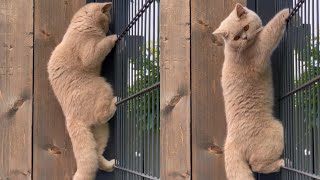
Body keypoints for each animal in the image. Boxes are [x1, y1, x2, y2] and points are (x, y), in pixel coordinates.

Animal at [47, 2, 117, 180]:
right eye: (107, 18)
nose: (109, 27)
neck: (82, 25)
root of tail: (70, 117)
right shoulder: (90, 54)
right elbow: (102, 45)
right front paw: (112, 38)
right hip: (103, 86)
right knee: (102, 115)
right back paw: (114, 103)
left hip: (101, 131)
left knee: (96, 155)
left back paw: (110, 165)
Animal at [212, 3, 290, 180]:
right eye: (236, 38)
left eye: (246, 27)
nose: (245, 38)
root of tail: (230, 142)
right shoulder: (261, 49)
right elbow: (271, 29)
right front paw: (285, 12)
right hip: (276, 130)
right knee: (257, 164)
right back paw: (280, 163)